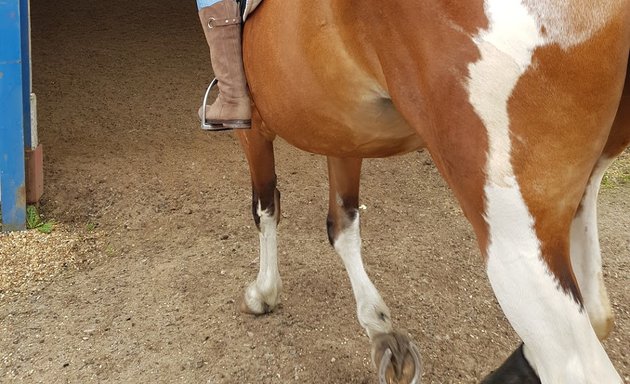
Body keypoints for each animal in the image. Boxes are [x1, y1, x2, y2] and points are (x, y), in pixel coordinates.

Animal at [232, 1, 630, 382]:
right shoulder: (343, 131)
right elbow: (341, 225)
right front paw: (379, 327)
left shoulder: (251, 127)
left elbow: (265, 208)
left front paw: (263, 292)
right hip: (578, 193)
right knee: (597, 313)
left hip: (515, 238)